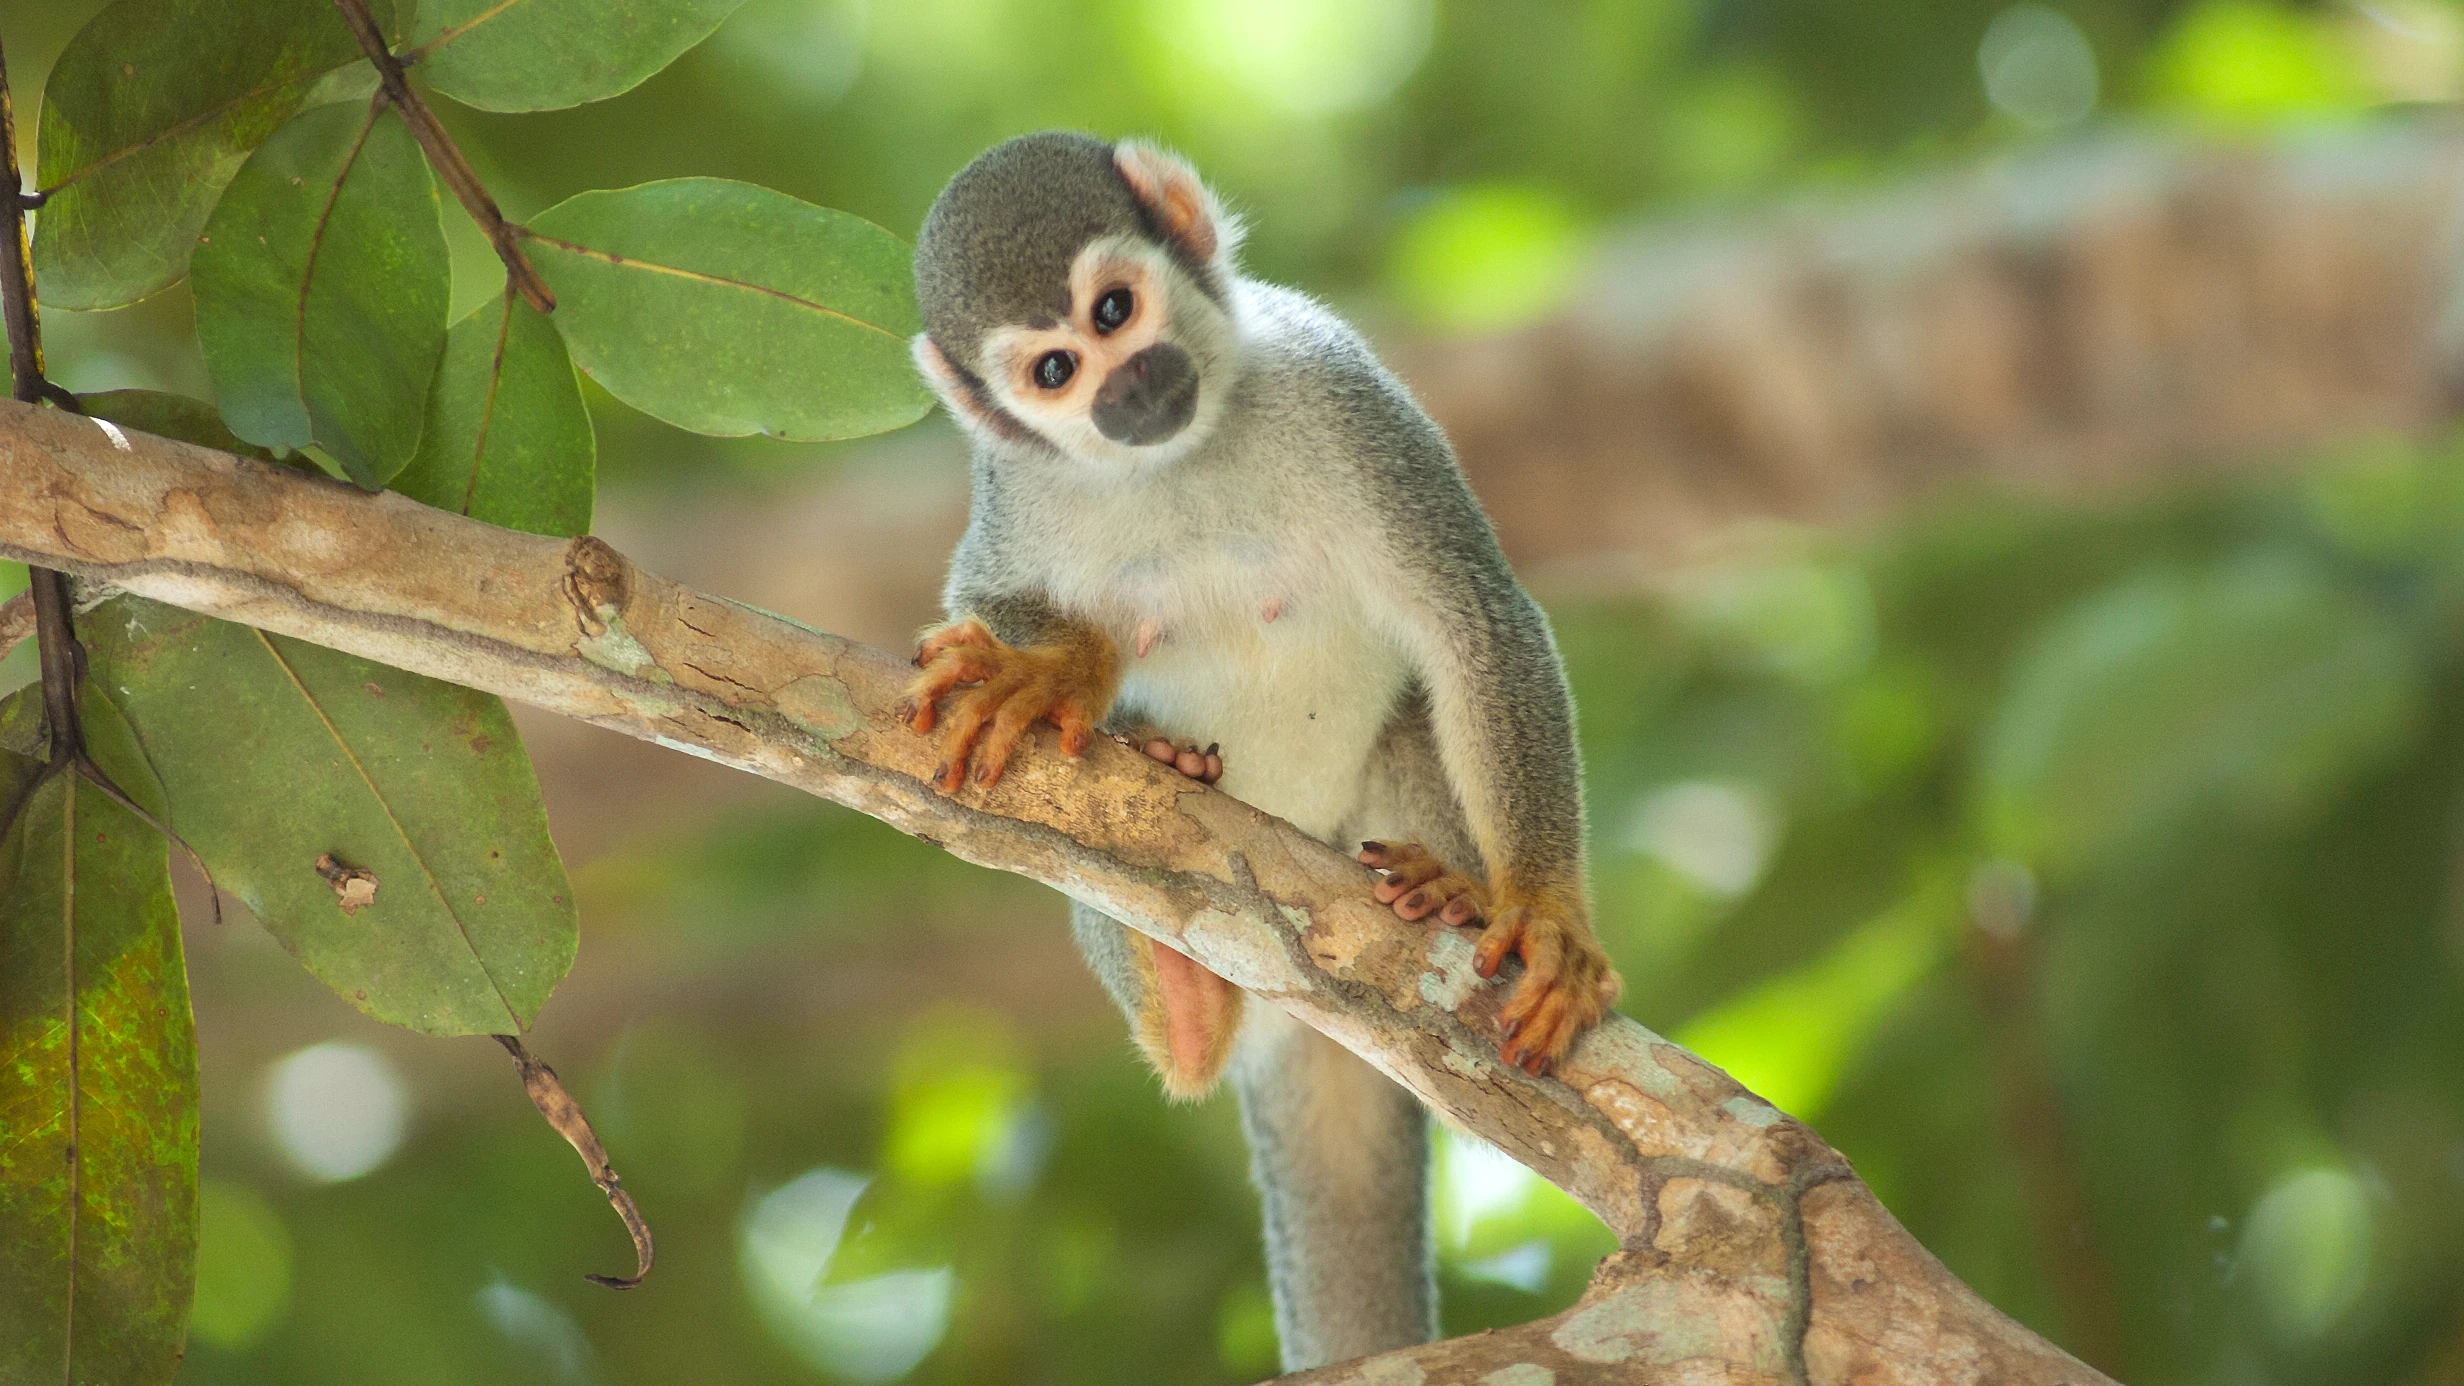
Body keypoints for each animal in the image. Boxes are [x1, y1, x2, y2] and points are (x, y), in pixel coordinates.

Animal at [900, 131, 1622, 1371]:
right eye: (1054, 371)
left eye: (1114, 309)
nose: (1128, 387)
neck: (1180, 463)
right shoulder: (1018, 486)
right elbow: (976, 611)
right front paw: (1062, 671)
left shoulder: (1335, 383)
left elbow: (1470, 619)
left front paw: (1542, 913)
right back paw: (1183, 993)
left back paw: (1451, 886)